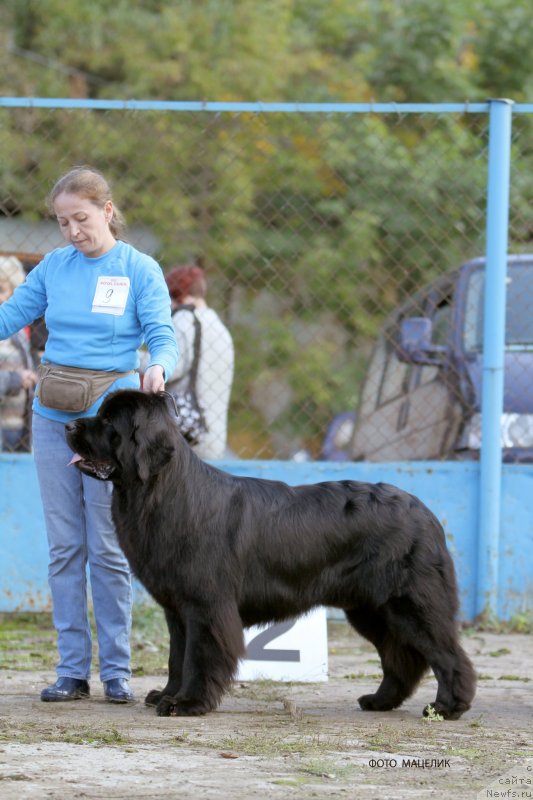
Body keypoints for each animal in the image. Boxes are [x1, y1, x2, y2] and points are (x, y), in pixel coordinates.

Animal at [65, 390, 474, 720]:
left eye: (108, 422)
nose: (68, 425)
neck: (162, 492)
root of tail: (425, 512)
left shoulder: (205, 606)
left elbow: (198, 656)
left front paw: (187, 703)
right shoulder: (177, 610)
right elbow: (176, 657)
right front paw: (166, 695)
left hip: (410, 603)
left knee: (446, 654)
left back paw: (447, 707)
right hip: (370, 609)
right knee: (399, 656)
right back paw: (380, 700)